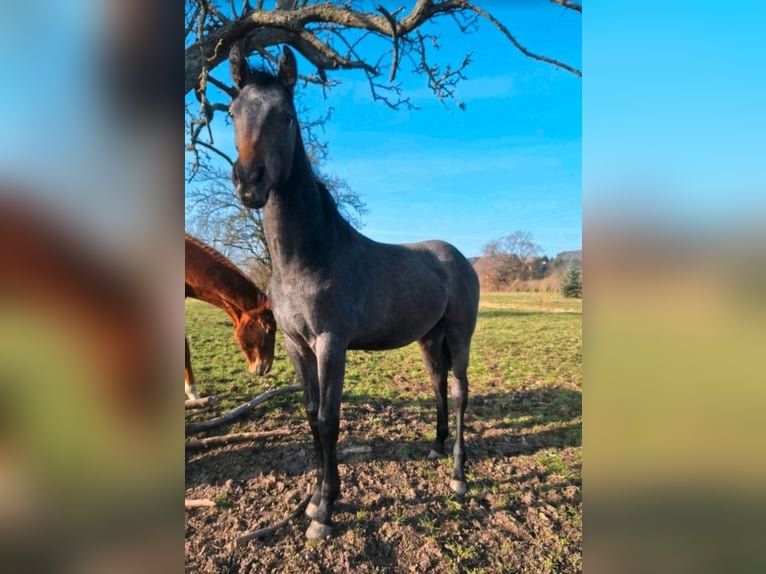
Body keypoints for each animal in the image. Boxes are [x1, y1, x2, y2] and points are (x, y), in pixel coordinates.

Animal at [228, 44, 480, 540]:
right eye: (231, 112)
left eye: (287, 116)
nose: (250, 183)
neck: (308, 258)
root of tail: (459, 258)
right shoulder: (296, 345)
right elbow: (311, 414)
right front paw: (316, 496)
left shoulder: (332, 343)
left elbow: (329, 419)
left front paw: (325, 510)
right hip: (430, 339)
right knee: (438, 386)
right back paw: (436, 448)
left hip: (460, 336)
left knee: (460, 391)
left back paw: (459, 475)